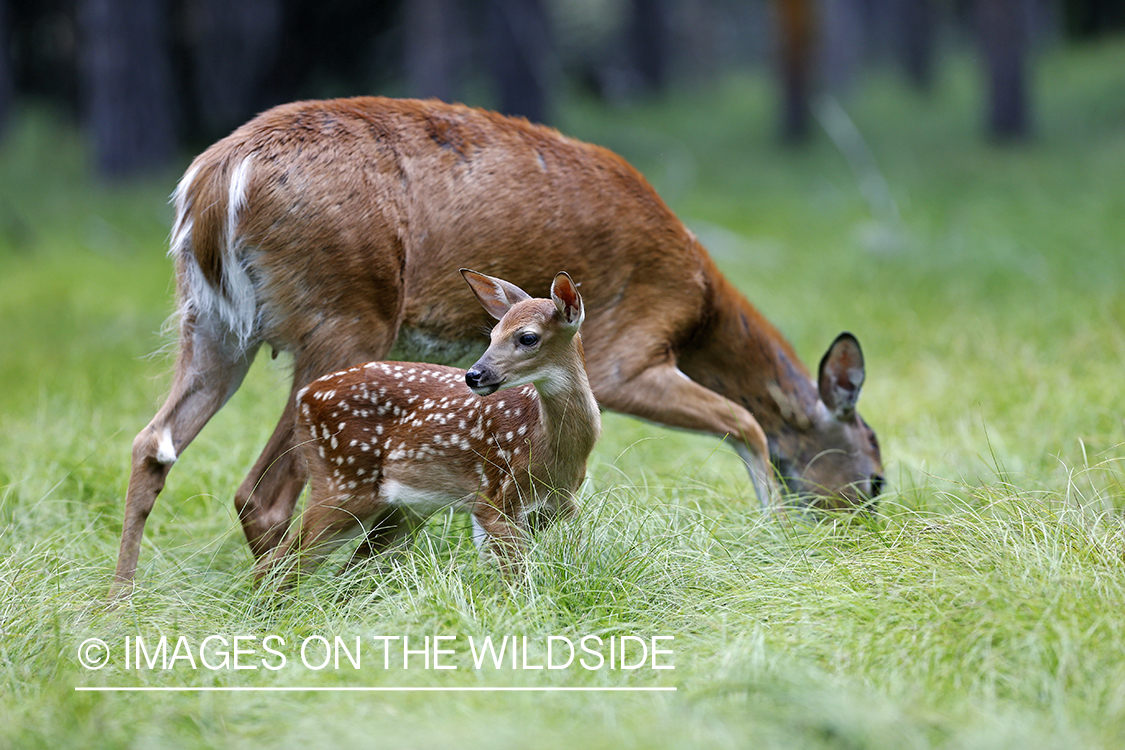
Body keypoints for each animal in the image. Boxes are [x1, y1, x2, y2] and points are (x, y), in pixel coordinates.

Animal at [256, 269, 603, 584]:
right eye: (492, 335)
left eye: (527, 337)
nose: (473, 375)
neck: (549, 448)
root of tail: (304, 395)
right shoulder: (494, 500)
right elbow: (515, 579)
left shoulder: (560, 506)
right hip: (343, 481)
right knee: (279, 565)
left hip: (401, 508)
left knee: (346, 576)